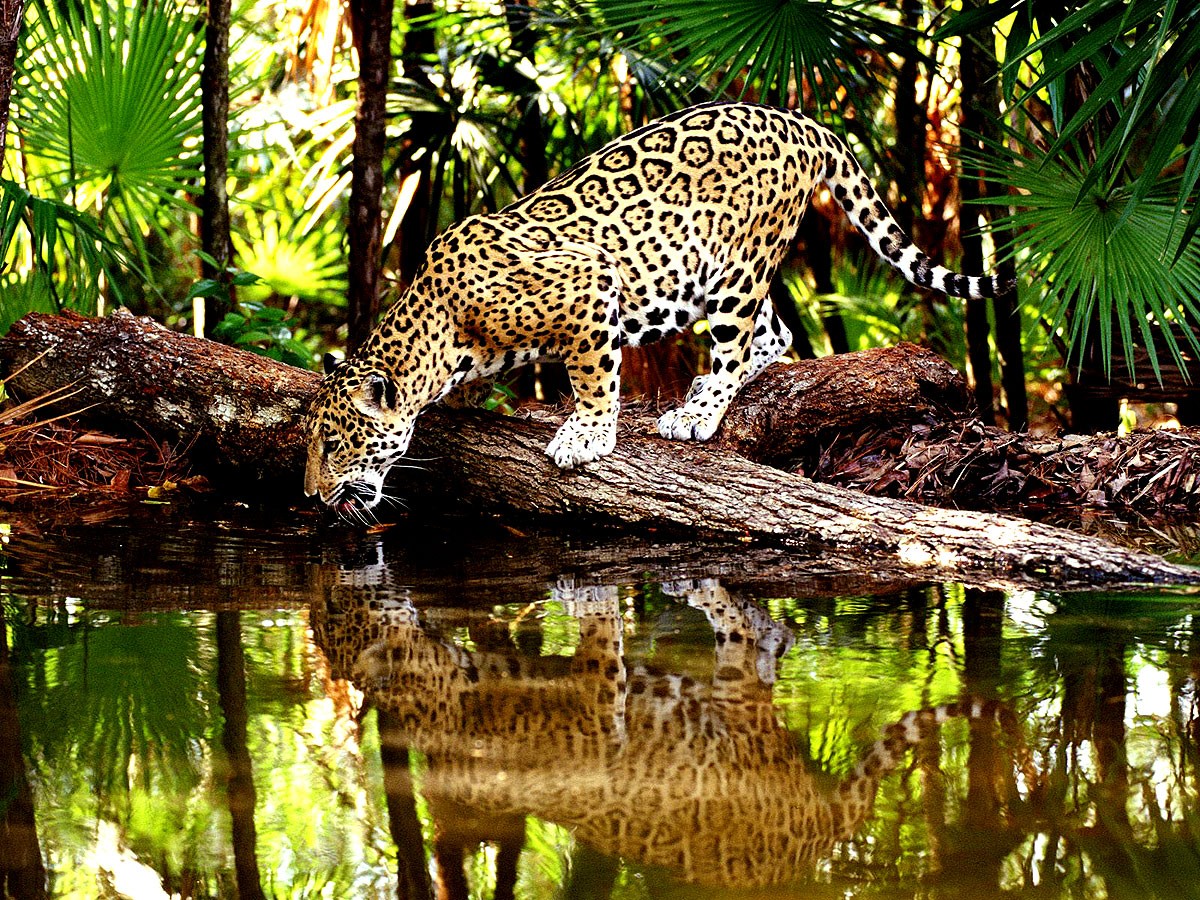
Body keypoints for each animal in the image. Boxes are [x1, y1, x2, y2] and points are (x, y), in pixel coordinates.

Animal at [304, 100, 1014, 516]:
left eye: (334, 445)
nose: (311, 494)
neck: (439, 328)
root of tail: (802, 122)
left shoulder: (590, 284)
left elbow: (594, 378)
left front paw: (585, 436)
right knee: (777, 331)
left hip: (736, 267)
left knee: (741, 339)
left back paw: (697, 412)